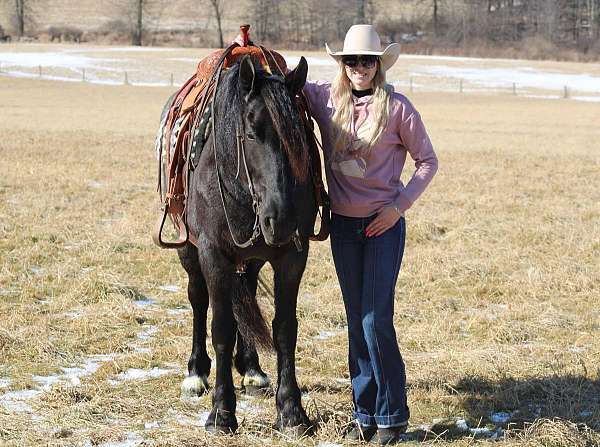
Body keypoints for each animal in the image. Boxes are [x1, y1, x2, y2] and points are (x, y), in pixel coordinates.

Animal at [162, 56, 316, 434]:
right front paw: (222, 412)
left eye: (300, 137)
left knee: (245, 291)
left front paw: (292, 411)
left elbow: (285, 328)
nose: (281, 218)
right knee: (198, 299)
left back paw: (251, 368)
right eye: (249, 133)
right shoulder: (213, 254)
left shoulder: (293, 257)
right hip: (189, 250)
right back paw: (196, 373)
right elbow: (221, 328)